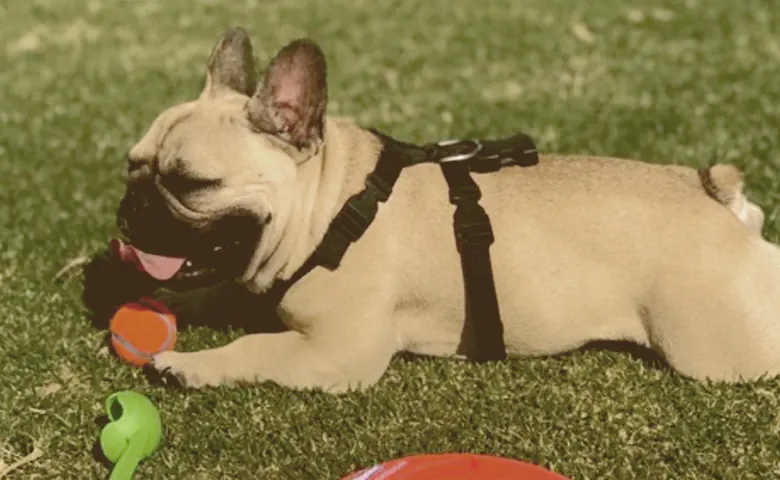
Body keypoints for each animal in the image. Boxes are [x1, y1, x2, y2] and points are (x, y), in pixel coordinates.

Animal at [112, 26, 776, 392]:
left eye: (192, 183)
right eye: (131, 165)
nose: (130, 208)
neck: (332, 207)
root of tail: (711, 192)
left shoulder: (335, 353)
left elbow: (256, 346)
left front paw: (190, 364)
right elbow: (218, 292)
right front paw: (169, 301)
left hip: (717, 350)